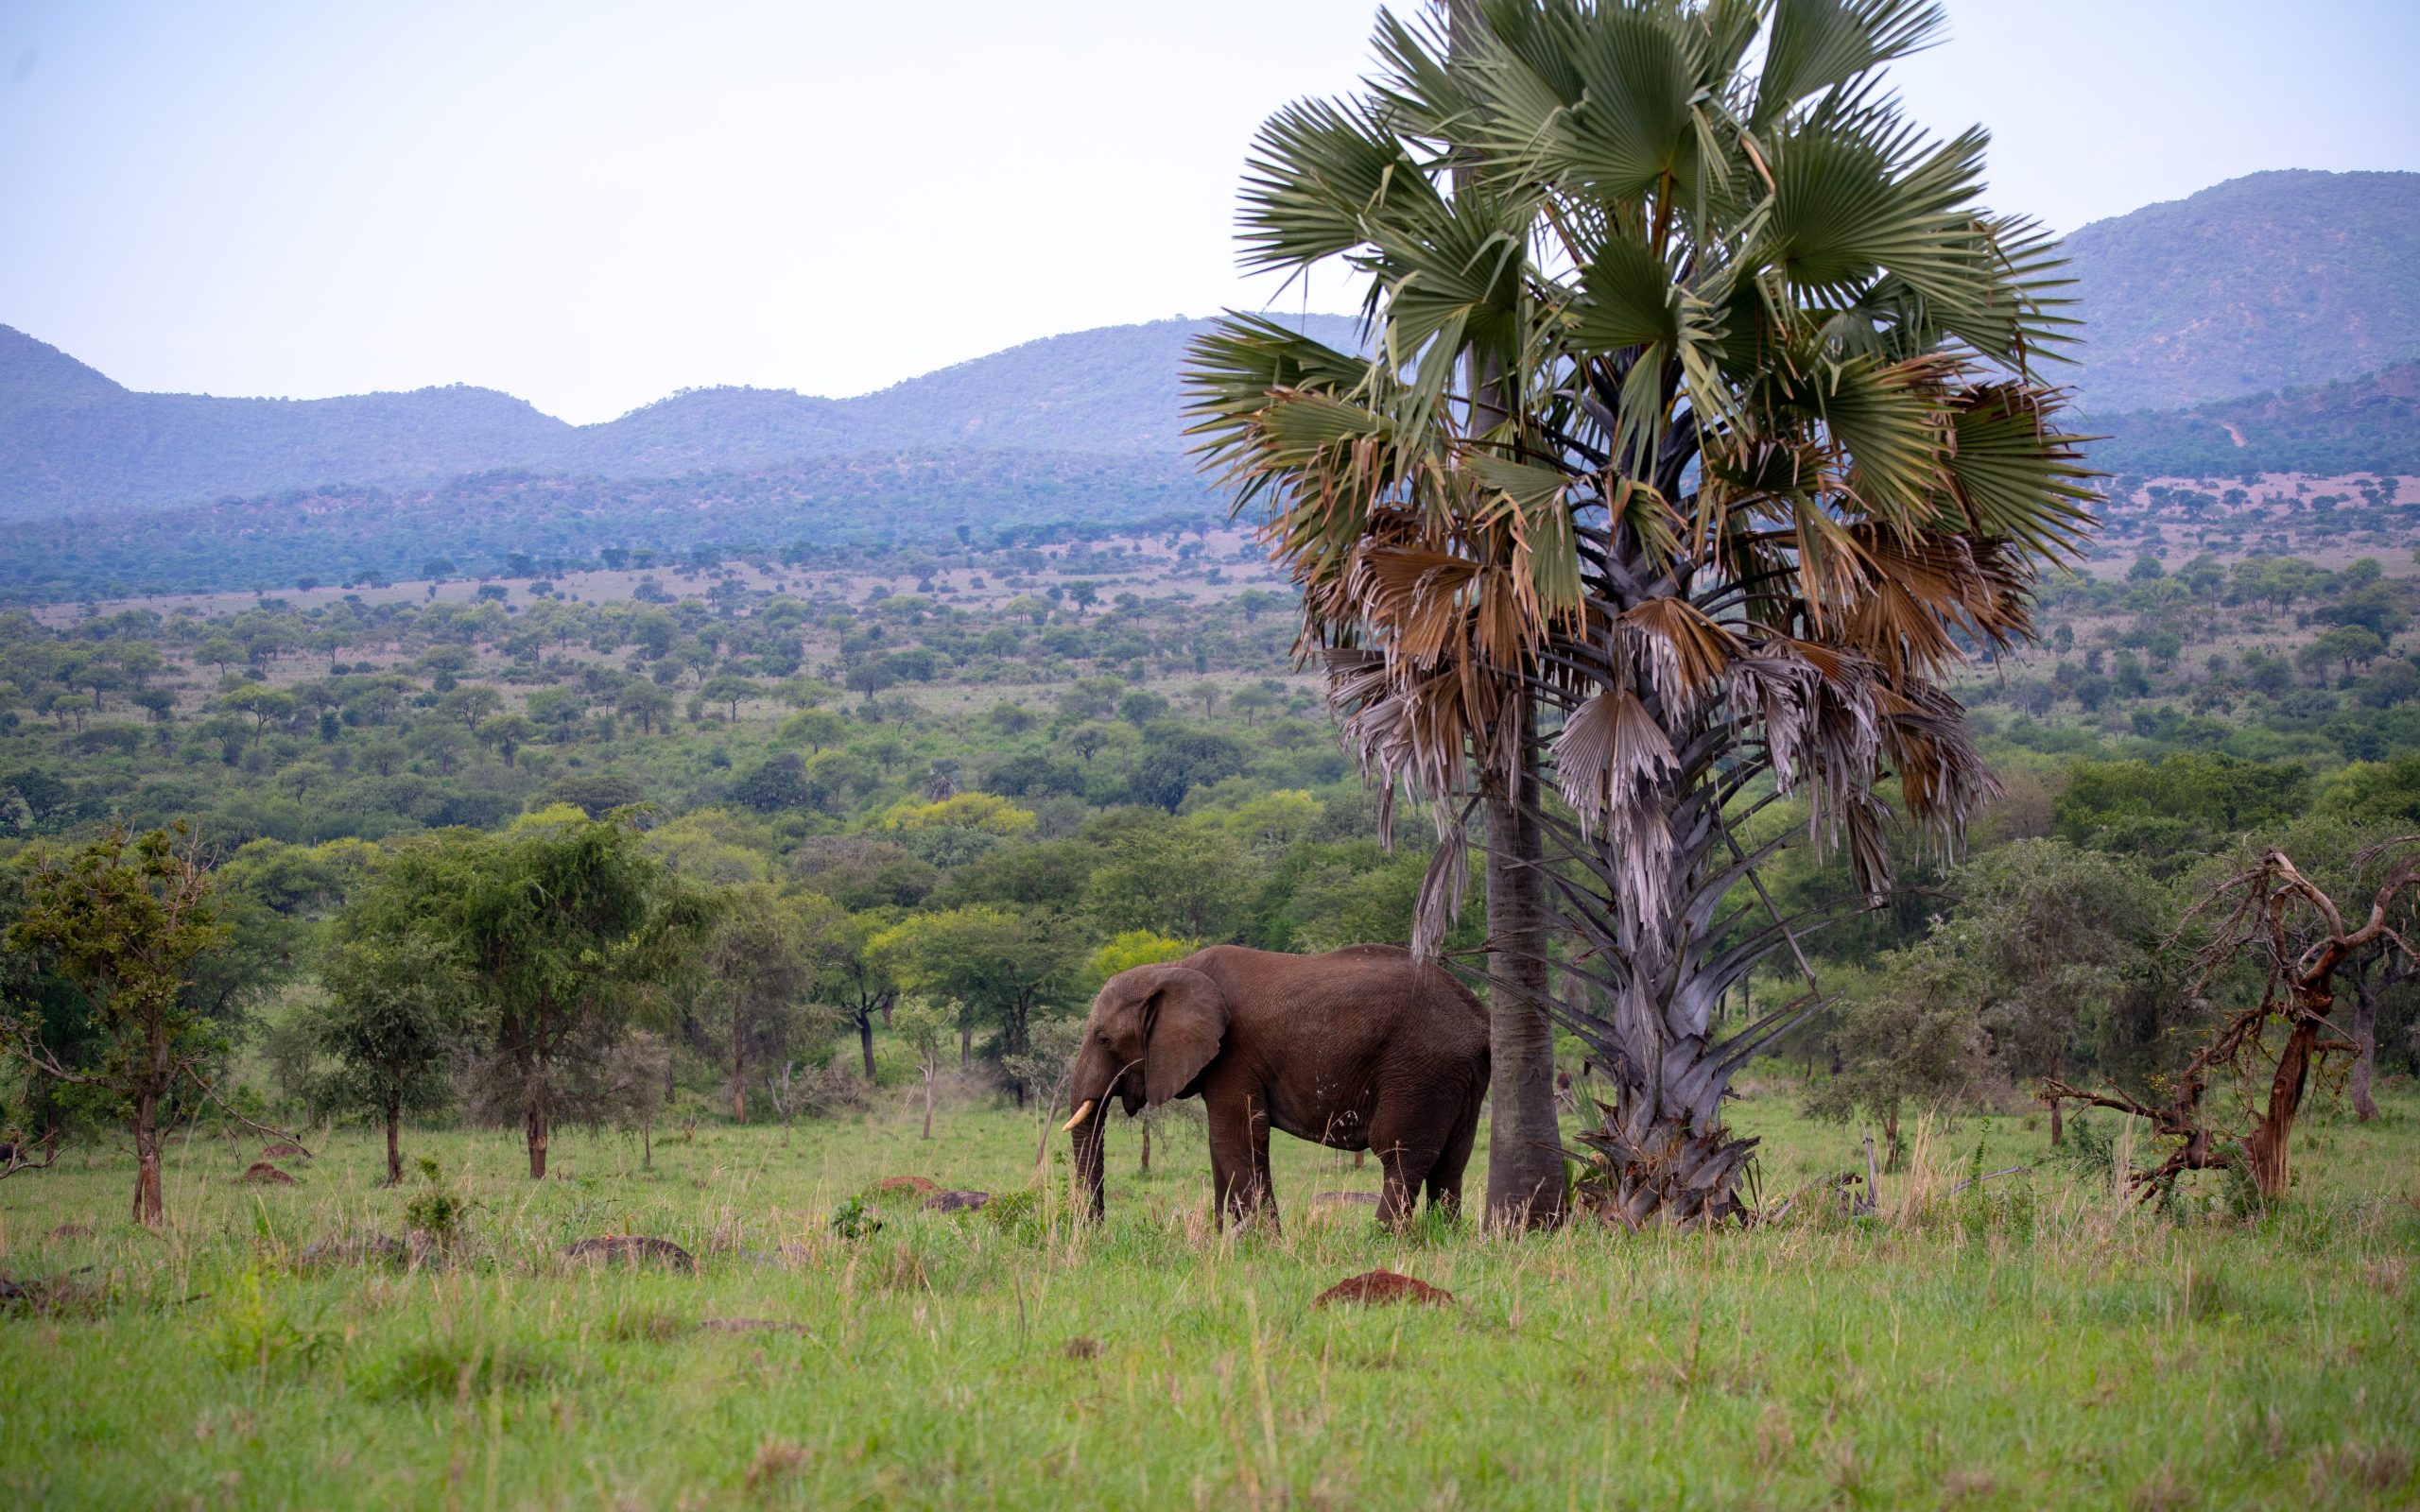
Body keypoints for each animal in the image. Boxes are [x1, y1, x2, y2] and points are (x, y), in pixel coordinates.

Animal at [1064, 943, 1490, 1228]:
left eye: (1103, 1039)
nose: (1096, 1232)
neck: (1173, 968)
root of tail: (1479, 1019)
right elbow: (1223, 1145)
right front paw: (1226, 1240)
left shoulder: (1234, 1054)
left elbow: (1237, 1137)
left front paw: (1260, 1242)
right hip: (1460, 1077)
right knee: (1452, 1160)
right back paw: (1443, 1238)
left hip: (1419, 1069)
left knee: (1401, 1155)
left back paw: (1382, 1238)